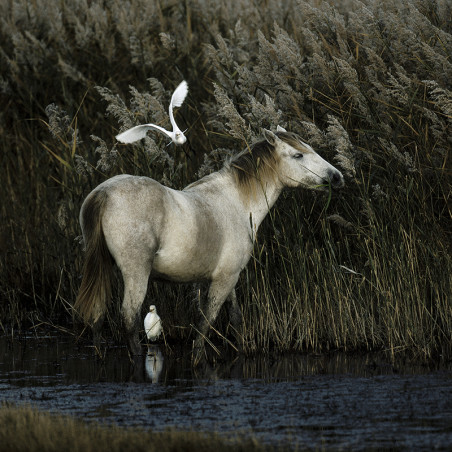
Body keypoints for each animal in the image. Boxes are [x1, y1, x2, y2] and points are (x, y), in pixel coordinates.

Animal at [74, 129, 344, 362]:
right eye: (298, 155)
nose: (337, 177)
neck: (237, 203)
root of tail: (104, 193)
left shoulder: (225, 278)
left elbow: (234, 318)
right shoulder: (224, 279)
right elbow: (206, 323)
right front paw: (198, 359)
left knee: (97, 316)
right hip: (136, 273)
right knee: (129, 319)